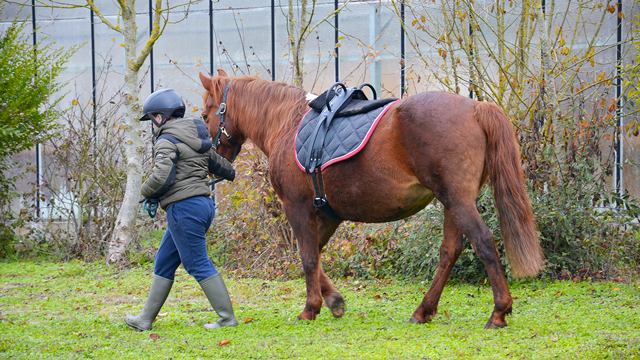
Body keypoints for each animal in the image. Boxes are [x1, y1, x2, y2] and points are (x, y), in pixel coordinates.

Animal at [199, 70, 540, 330]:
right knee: (449, 252)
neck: (285, 121)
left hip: (458, 201)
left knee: (484, 242)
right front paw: (334, 300)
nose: (213, 162)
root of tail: (475, 108)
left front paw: (311, 308)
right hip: (453, 203)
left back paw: (498, 312)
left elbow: (307, 257)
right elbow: (316, 255)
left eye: (204, 114)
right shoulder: (329, 213)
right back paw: (423, 311)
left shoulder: (297, 207)